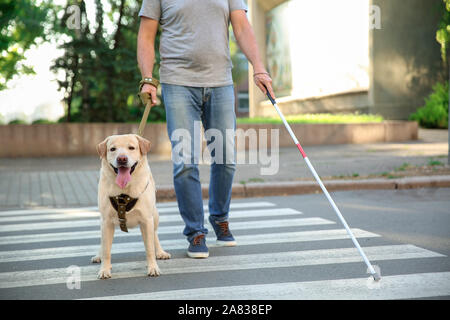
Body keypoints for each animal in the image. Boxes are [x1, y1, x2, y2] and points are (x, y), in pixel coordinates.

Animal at [91, 132, 171, 278]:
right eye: (112, 149)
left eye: (131, 148)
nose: (122, 159)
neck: (124, 191)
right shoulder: (106, 221)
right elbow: (106, 250)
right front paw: (104, 269)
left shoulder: (146, 219)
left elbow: (149, 248)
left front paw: (153, 267)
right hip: (102, 221)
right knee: (103, 242)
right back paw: (98, 255)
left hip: (155, 216)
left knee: (154, 235)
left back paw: (160, 252)